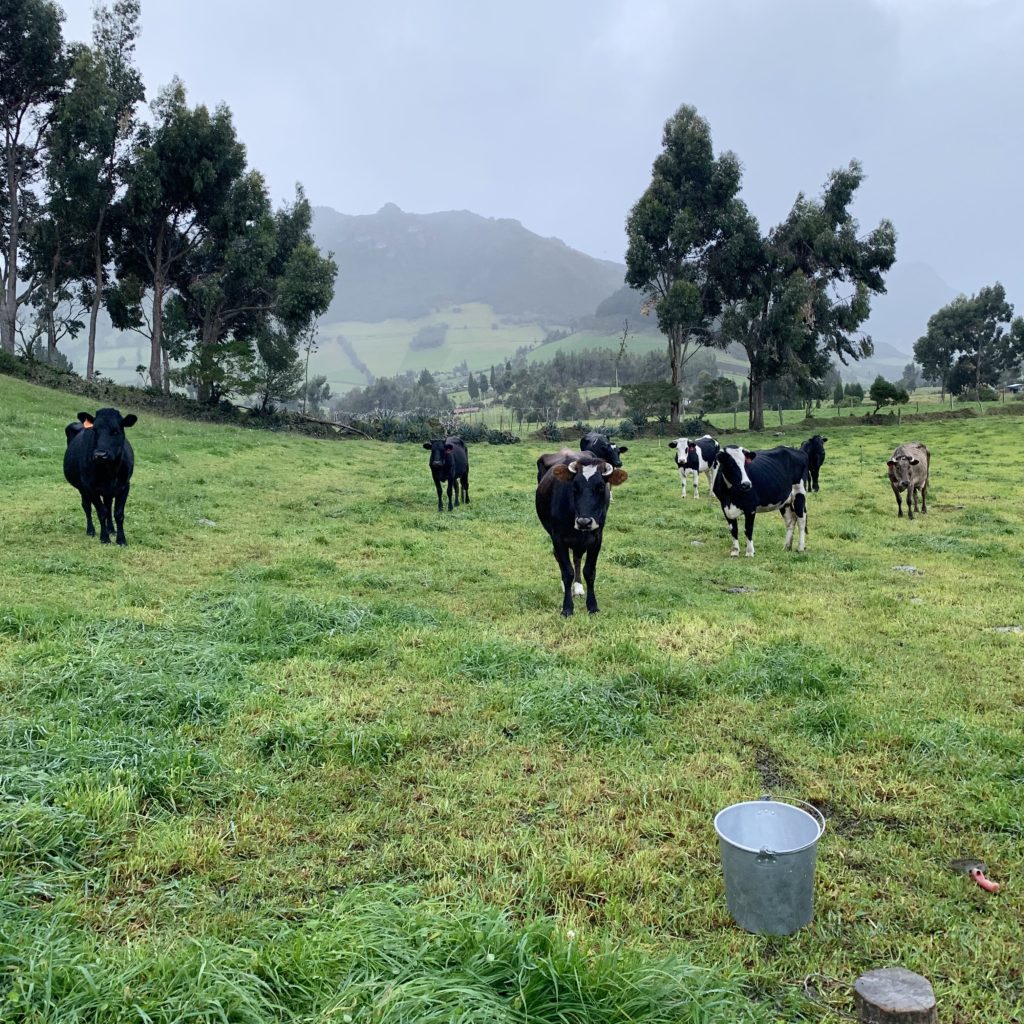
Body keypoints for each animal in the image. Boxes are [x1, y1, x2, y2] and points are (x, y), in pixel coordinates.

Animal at [532, 454, 626, 614]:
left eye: (601, 487)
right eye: (574, 487)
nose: (584, 522)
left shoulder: (597, 538)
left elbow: (589, 572)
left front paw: (592, 606)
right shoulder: (558, 538)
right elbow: (567, 572)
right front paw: (567, 608)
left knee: (576, 559)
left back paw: (578, 587)